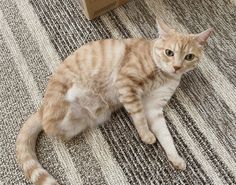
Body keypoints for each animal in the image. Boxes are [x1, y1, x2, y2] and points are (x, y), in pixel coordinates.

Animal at [15, 20, 213, 185]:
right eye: (169, 52)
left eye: (189, 57)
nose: (177, 67)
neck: (163, 76)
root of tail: (41, 109)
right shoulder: (126, 84)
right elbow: (139, 117)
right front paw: (146, 136)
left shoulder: (154, 108)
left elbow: (166, 136)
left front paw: (175, 157)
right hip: (61, 100)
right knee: (50, 124)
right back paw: (75, 92)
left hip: (82, 122)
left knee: (61, 128)